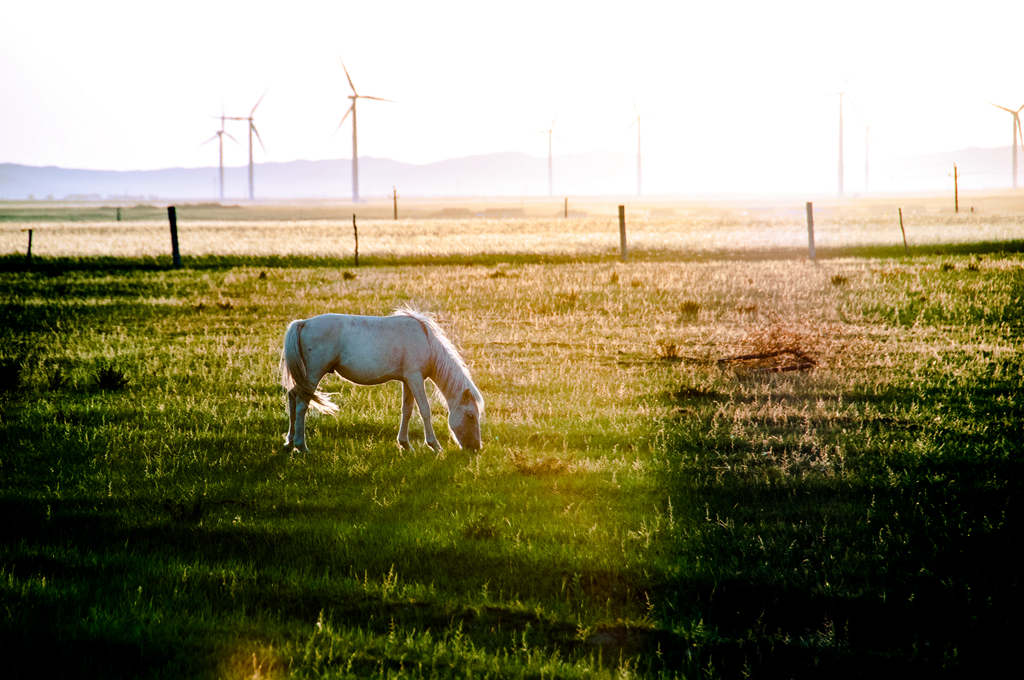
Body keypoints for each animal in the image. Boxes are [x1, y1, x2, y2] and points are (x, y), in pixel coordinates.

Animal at [280, 305, 483, 454]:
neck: (426, 342)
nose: (475, 448)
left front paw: (405, 444)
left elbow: (407, 410)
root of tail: (303, 323)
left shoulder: (408, 380)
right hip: (313, 374)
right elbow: (425, 410)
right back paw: (301, 446)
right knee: (302, 405)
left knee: (292, 397)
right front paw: (435, 445)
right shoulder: (415, 378)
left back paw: (289, 442)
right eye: (471, 416)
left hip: (305, 378)